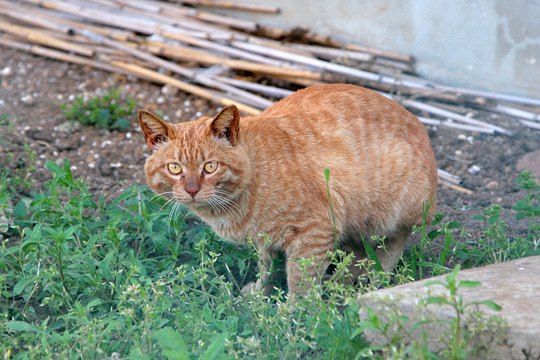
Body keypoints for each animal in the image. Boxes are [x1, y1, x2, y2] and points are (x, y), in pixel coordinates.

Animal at [137, 83, 436, 296]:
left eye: (210, 167)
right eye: (174, 168)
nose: (192, 190)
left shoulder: (314, 234)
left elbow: (299, 283)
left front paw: (290, 317)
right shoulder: (264, 240)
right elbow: (265, 268)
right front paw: (261, 294)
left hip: (389, 216)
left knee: (390, 249)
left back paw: (364, 283)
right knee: (357, 253)